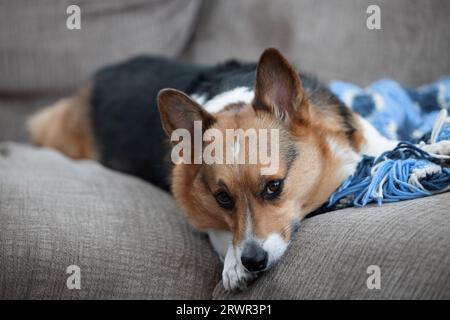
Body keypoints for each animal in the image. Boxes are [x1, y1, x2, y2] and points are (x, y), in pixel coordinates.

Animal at [29, 48, 400, 292]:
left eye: (274, 187)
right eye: (222, 198)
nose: (253, 261)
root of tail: (91, 81)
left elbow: (387, 146)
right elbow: (218, 233)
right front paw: (234, 264)